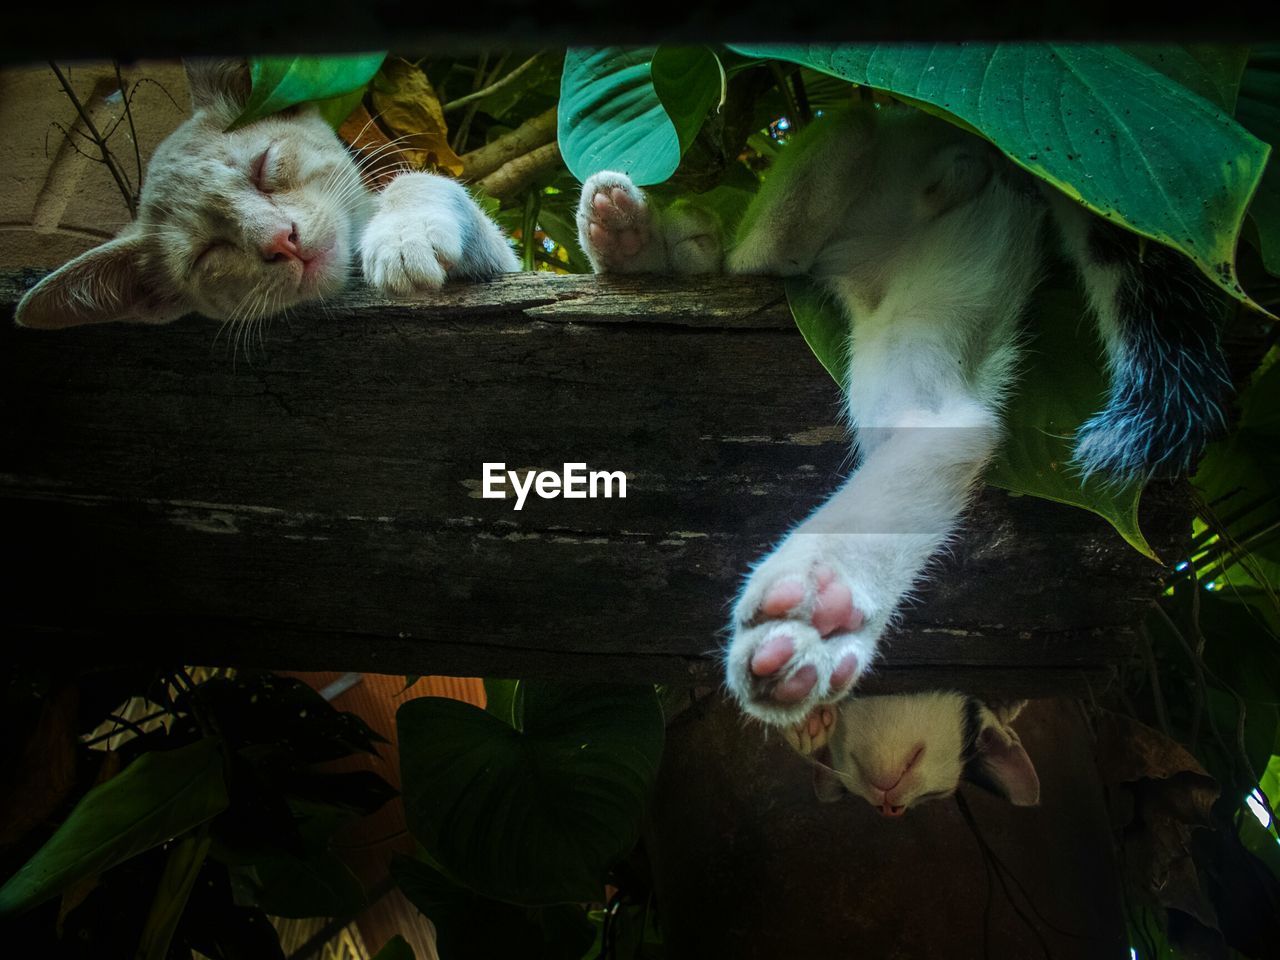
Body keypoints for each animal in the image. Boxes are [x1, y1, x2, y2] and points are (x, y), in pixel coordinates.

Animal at [13, 60, 514, 332]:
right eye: (208, 252)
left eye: (263, 167)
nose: (281, 240)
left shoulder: (507, 264)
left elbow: (416, 181)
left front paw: (404, 233)